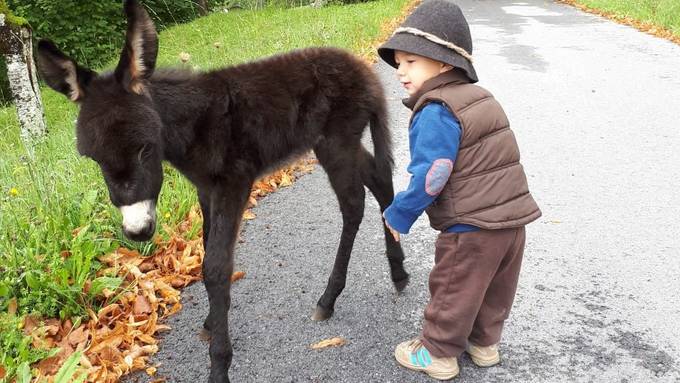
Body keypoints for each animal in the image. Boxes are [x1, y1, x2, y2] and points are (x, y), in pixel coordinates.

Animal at [37, 1, 406, 382]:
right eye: (93, 158)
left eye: (144, 149)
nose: (137, 231)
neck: (192, 126)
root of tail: (362, 69)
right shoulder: (206, 189)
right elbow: (205, 248)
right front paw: (211, 323)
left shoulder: (233, 184)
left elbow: (215, 267)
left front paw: (218, 363)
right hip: (333, 143)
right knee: (378, 179)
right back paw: (398, 273)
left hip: (336, 143)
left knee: (353, 204)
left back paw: (329, 298)